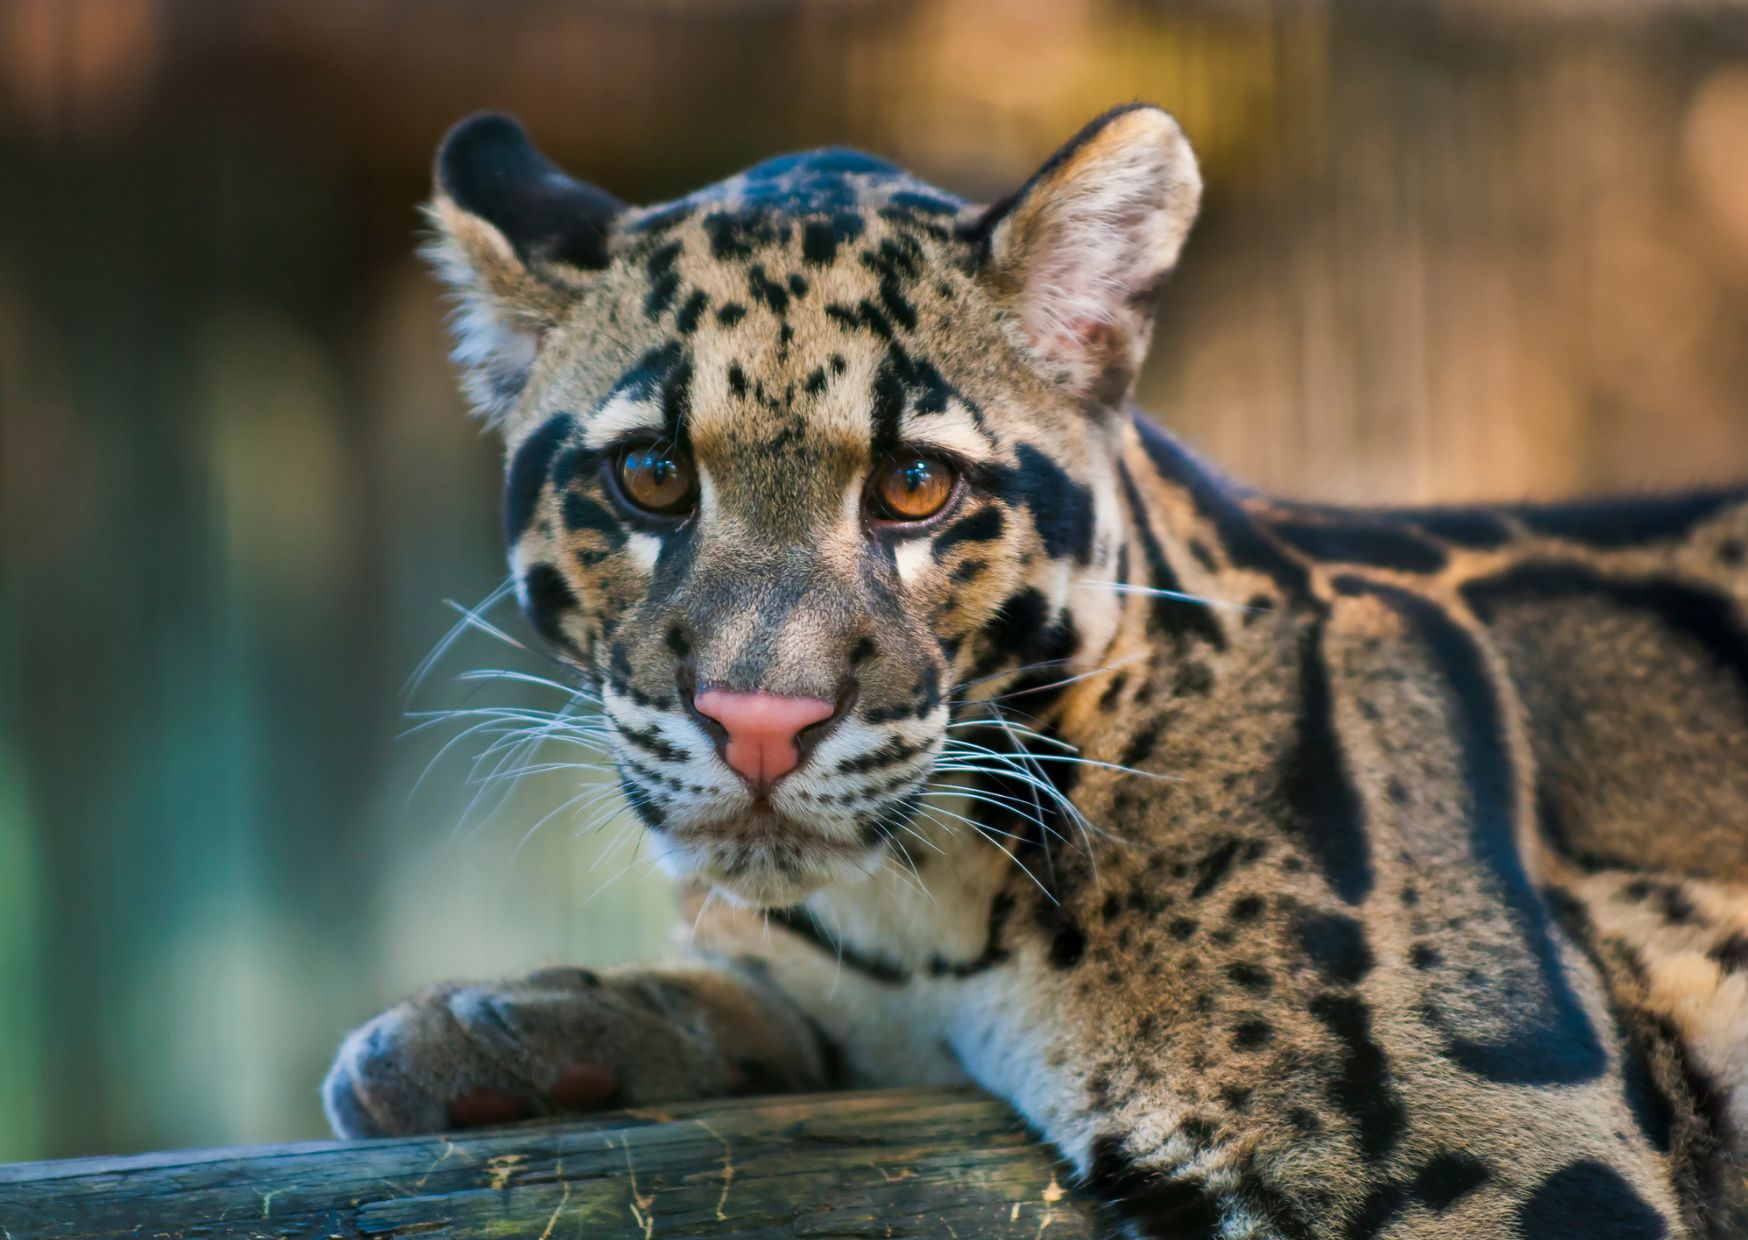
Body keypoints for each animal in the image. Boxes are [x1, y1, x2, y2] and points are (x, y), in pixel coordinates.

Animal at [323, 104, 1748, 1238]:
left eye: (915, 485)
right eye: (652, 476)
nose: (759, 720)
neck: (921, 916)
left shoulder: (1487, 1160)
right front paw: (512, 1023)